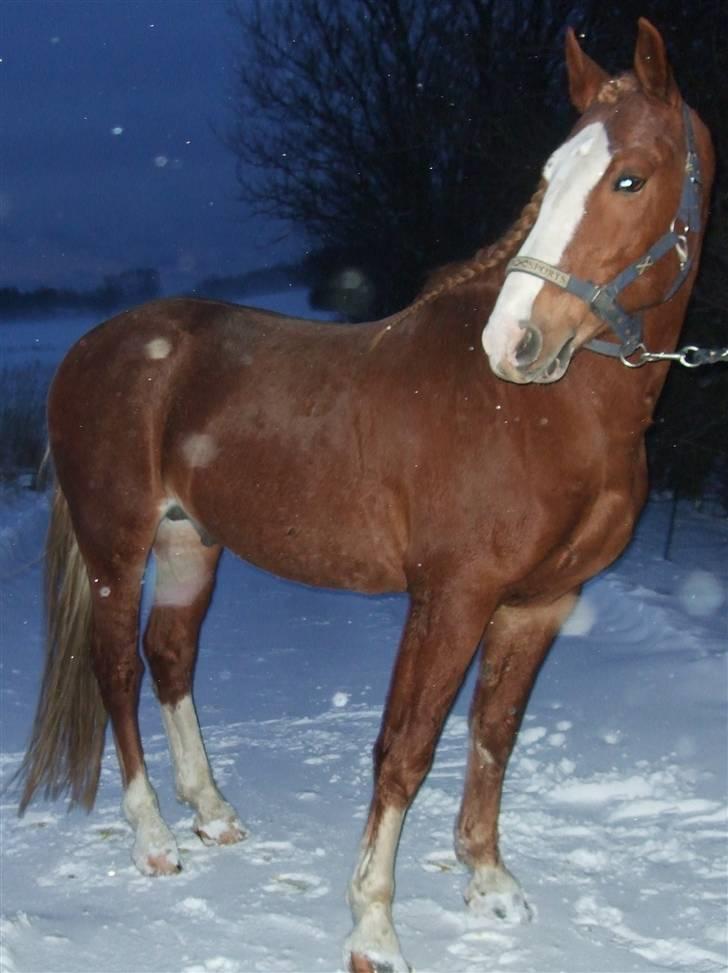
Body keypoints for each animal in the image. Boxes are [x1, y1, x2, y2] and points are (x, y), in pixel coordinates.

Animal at [15, 17, 712, 972]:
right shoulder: (451, 598)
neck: (548, 414)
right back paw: (154, 837)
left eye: (630, 176)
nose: (514, 341)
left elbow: (494, 734)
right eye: (548, 177)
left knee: (171, 656)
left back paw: (213, 812)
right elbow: (405, 748)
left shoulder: (540, 603)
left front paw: (489, 882)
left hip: (190, 540)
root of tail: (91, 348)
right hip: (117, 545)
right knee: (118, 670)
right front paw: (373, 927)